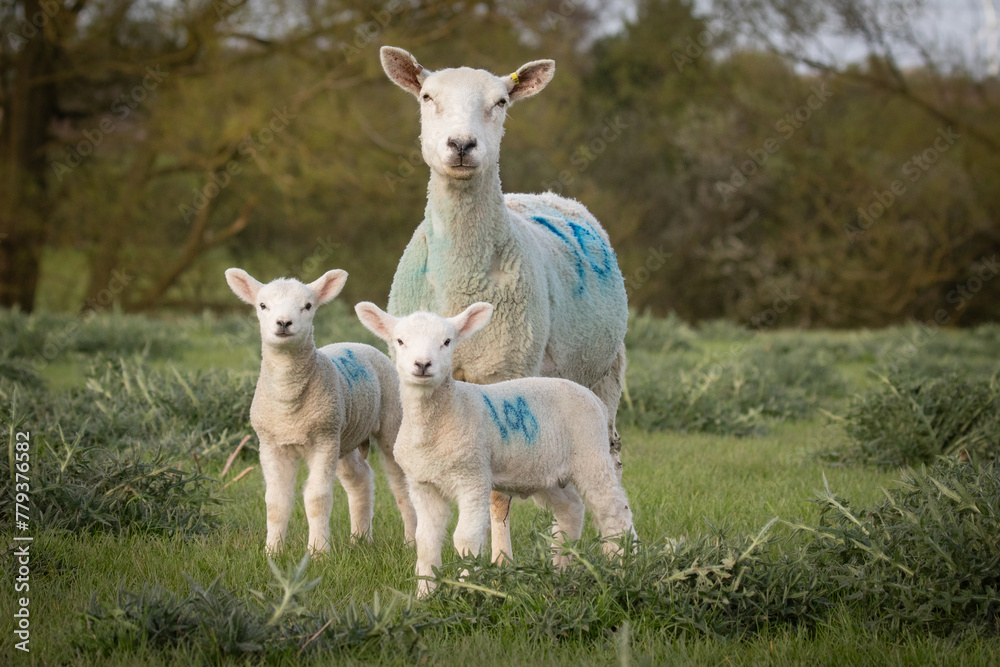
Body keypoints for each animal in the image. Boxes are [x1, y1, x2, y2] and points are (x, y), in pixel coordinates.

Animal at [225, 268, 416, 556]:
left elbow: (317, 498)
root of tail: (358, 343)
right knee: (360, 478)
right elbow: (276, 501)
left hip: (389, 423)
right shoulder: (271, 443)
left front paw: (318, 552)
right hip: (344, 436)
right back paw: (360, 539)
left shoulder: (323, 440)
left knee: (402, 486)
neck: (289, 404)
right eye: (262, 305)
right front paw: (272, 552)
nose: (283, 323)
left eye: (307, 306)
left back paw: (412, 541)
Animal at [356, 300, 632, 596]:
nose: (422, 364)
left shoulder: (473, 477)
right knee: (571, 509)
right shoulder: (423, 484)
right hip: (545, 471)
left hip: (591, 455)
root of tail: (595, 400)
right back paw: (560, 571)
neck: (447, 413)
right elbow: (426, 540)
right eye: (400, 341)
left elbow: (466, 538)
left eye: (447, 341)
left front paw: (466, 589)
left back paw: (622, 568)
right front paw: (424, 594)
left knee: (615, 513)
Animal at [378, 45, 628, 564]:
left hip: (604, 372)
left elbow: (495, 495)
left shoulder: (504, 371)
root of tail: (548, 195)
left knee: (610, 461)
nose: (461, 144)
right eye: (427, 97)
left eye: (501, 102)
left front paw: (498, 563)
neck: (460, 279)